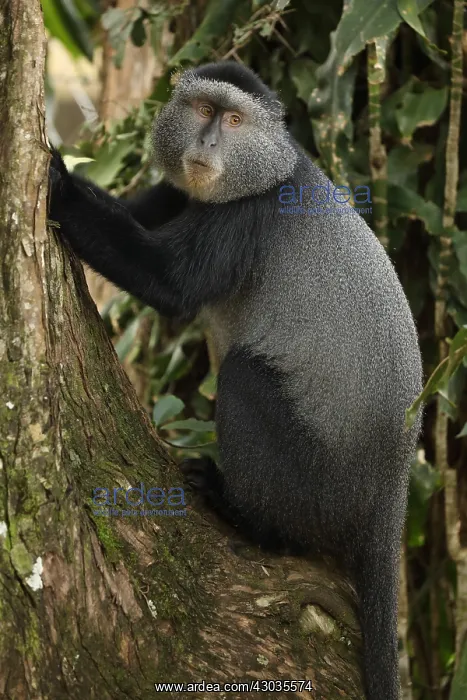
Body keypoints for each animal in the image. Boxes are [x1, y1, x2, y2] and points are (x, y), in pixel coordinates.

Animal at [48, 61, 423, 700]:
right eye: (202, 110)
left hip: (318, 486)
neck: (269, 169)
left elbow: (170, 283)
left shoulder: (246, 215)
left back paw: (248, 517)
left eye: (233, 120)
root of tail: (390, 487)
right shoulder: (183, 192)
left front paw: (59, 185)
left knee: (245, 379)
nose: (206, 144)